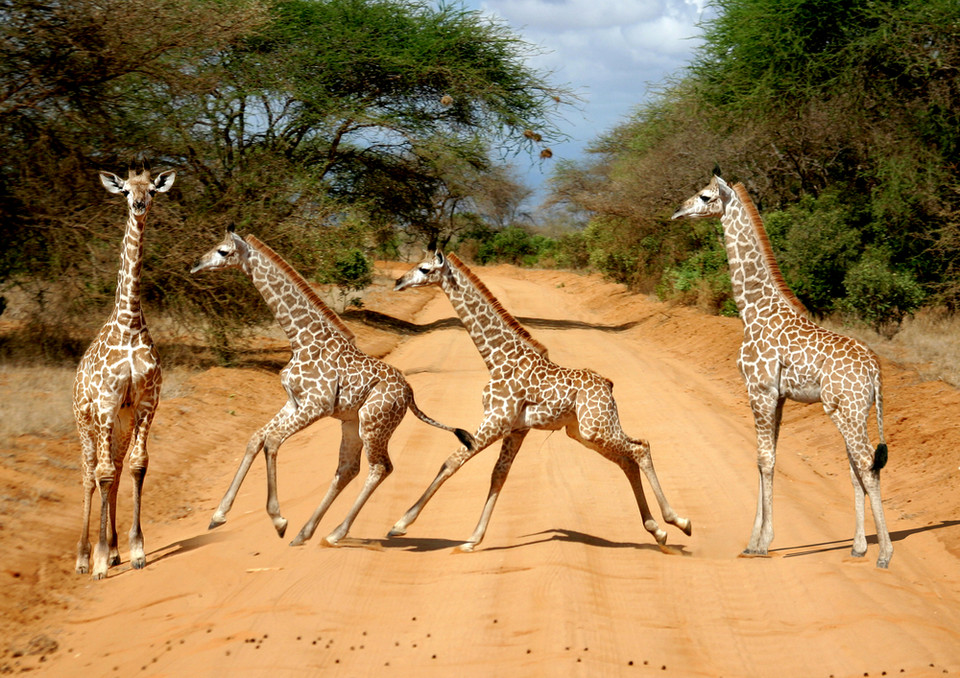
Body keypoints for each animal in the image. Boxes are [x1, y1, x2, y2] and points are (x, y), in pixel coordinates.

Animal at [72, 169, 176, 580]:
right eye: (126, 190)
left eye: (152, 191)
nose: (139, 205)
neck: (129, 323)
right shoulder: (105, 403)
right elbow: (100, 475)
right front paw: (100, 560)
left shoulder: (145, 402)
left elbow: (136, 466)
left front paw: (135, 550)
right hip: (87, 421)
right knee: (90, 474)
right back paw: (84, 558)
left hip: (120, 421)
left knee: (114, 470)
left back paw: (114, 549)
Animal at [189, 231, 474, 548]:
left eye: (223, 251)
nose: (196, 264)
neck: (301, 339)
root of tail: (410, 394)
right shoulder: (294, 402)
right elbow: (255, 439)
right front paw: (218, 515)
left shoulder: (316, 405)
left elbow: (272, 441)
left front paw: (278, 520)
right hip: (351, 424)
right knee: (348, 468)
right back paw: (305, 533)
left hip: (373, 424)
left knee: (379, 467)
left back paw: (336, 532)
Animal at [386, 252, 692, 556]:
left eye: (424, 269)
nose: (398, 281)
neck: (496, 357)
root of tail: (608, 385)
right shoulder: (516, 429)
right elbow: (498, 475)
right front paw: (473, 538)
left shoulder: (495, 420)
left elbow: (451, 462)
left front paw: (400, 524)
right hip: (583, 432)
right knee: (628, 459)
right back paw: (658, 531)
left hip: (596, 428)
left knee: (640, 448)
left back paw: (679, 521)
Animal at [672, 175, 896, 568]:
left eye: (705, 196)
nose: (678, 211)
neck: (751, 309)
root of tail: (875, 370)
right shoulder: (776, 397)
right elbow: (765, 459)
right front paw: (753, 541)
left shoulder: (759, 390)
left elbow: (764, 458)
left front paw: (762, 543)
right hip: (851, 410)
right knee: (857, 467)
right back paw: (858, 547)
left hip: (848, 410)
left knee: (867, 463)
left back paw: (884, 553)